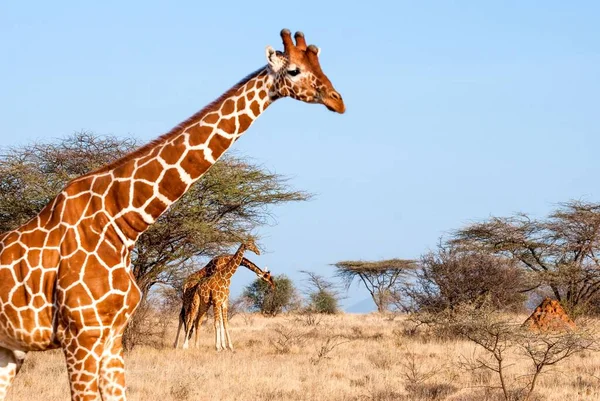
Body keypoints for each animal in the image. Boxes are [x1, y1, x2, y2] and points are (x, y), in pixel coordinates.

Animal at [0, 28, 342, 400]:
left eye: (321, 64)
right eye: (294, 70)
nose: (338, 100)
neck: (121, 222)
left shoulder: (110, 338)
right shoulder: (81, 336)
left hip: (10, 350)